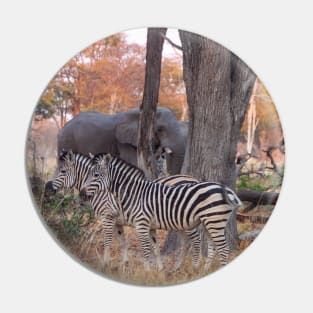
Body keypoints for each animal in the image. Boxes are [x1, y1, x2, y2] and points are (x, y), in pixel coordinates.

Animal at [81, 153, 241, 268]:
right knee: (213, 247)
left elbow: (145, 250)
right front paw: (156, 270)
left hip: (214, 221)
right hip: (210, 222)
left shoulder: (139, 223)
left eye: (95, 175)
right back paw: (203, 271)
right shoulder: (146, 225)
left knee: (223, 249)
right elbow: (152, 248)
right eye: (87, 174)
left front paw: (147, 272)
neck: (133, 193)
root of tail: (226, 190)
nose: (81, 194)